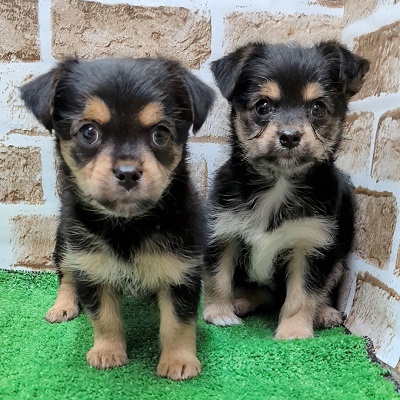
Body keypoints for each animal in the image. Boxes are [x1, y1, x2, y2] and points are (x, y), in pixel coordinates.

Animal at [20, 57, 214, 380]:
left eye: (160, 134)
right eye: (88, 132)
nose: (127, 173)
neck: (128, 225)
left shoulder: (181, 271)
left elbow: (178, 322)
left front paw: (178, 361)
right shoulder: (91, 267)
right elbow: (104, 317)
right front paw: (107, 352)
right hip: (65, 242)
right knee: (66, 275)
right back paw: (63, 306)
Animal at [203, 41, 369, 339]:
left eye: (318, 108)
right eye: (262, 107)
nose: (290, 136)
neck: (279, 181)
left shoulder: (311, 244)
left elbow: (302, 294)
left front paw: (294, 333)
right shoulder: (224, 231)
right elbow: (218, 276)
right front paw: (218, 313)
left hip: (336, 259)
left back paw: (324, 313)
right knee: (263, 293)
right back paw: (240, 302)